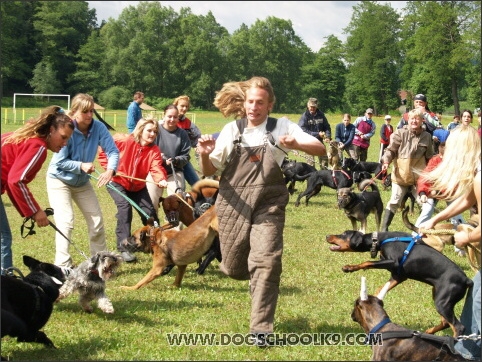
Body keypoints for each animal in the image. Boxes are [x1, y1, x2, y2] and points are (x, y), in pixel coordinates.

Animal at [326, 230, 472, 338]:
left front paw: (349, 268)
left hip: (442, 301)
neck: (378, 240)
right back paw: (429, 332)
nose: (327, 236)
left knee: (458, 327)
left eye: (344, 234)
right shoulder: (399, 275)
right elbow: (381, 289)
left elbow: (367, 262)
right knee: (446, 322)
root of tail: (467, 280)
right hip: (439, 296)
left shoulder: (393, 262)